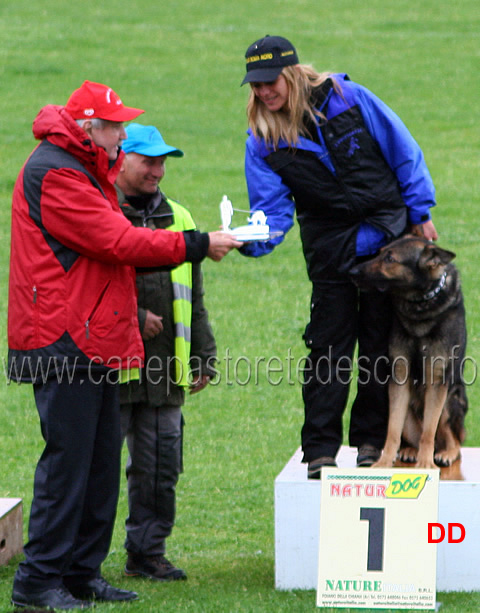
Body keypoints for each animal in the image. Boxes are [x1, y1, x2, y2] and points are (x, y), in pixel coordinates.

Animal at [348, 235, 468, 468]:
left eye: (390, 259)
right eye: (380, 253)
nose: (352, 271)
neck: (420, 303)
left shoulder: (437, 381)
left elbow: (429, 432)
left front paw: (426, 464)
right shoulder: (399, 378)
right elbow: (393, 430)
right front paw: (384, 462)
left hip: (449, 399)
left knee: (451, 437)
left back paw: (446, 453)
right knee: (413, 435)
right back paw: (410, 450)